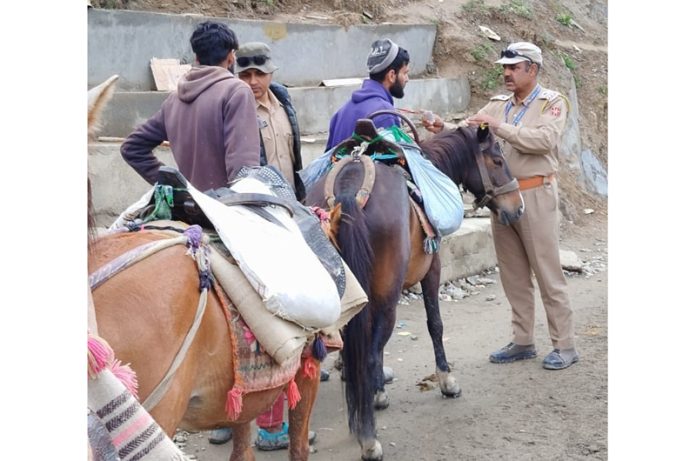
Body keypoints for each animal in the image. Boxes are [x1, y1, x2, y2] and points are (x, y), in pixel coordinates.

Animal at [304, 116, 520, 460]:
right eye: (498, 161)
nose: (518, 207)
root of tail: (349, 189)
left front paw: (370, 388)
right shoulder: (432, 270)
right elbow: (435, 324)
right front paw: (446, 380)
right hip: (386, 295)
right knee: (369, 352)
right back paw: (369, 438)